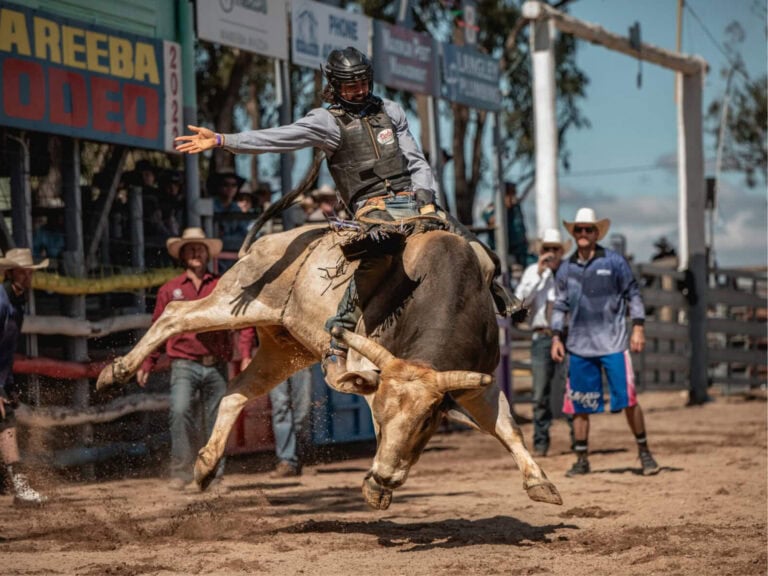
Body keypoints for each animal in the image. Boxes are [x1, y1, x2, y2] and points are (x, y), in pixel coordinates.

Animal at [96, 225, 562, 509]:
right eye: (380, 418)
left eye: (428, 422)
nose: (385, 475)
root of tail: (267, 242)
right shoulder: (367, 369)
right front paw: (375, 487)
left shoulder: (478, 384)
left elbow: (508, 428)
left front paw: (541, 484)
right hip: (234, 299)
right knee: (176, 313)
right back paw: (113, 373)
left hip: (282, 348)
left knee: (234, 391)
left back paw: (206, 466)